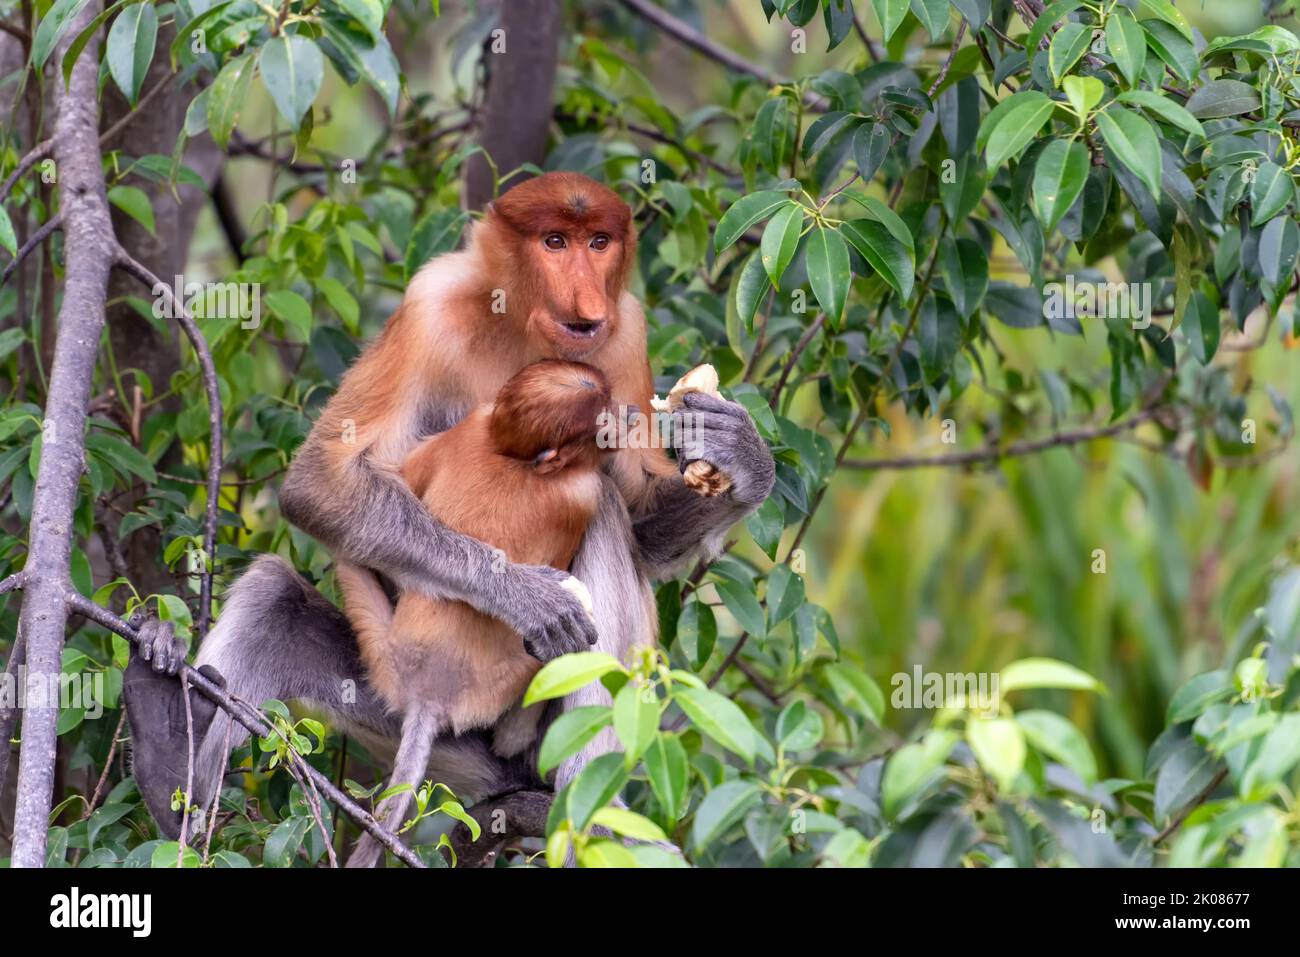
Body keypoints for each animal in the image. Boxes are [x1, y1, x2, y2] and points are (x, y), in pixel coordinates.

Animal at [122, 170, 769, 842]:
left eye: (598, 242)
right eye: (555, 241)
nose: (588, 300)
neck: (522, 326)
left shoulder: (625, 332)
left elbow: (641, 521)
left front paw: (740, 454)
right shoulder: (428, 307)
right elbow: (320, 481)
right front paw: (525, 596)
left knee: (611, 525)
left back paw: (579, 815)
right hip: (404, 706)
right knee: (273, 595)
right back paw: (172, 780)